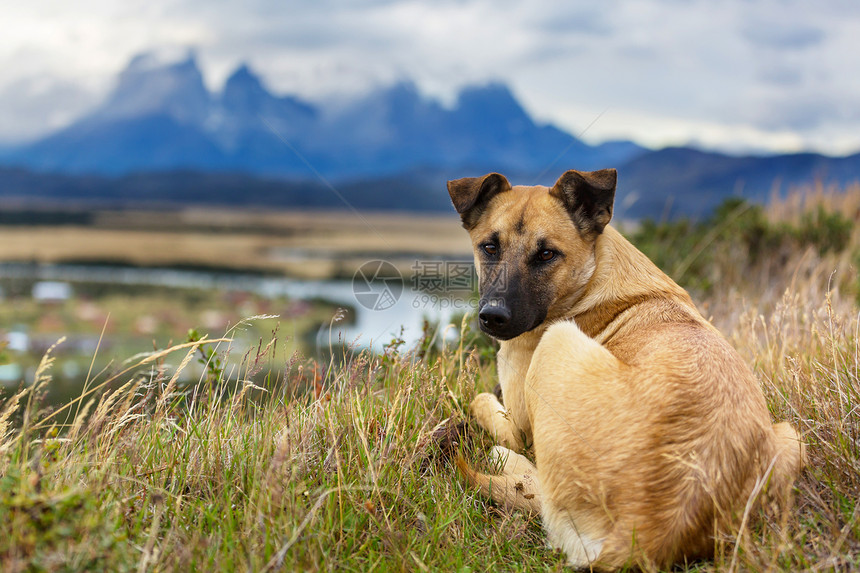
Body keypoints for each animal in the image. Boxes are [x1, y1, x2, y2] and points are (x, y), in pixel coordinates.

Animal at [450, 169, 808, 568]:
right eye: (489, 247)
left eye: (546, 254)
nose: (493, 317)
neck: (592, 278)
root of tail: (645, 533)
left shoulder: (518, 425)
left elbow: (481, 401)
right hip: (790, 437)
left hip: (557, 343)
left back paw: (505, 462)